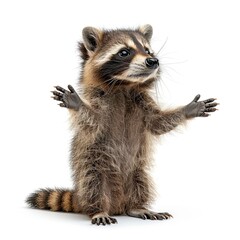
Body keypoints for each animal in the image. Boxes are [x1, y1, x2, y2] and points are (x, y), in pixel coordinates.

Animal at [25, 25, 218, 226]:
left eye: (148, 50)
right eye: (124, 52)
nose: (153, 61)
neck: (124, 85)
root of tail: (117, 205)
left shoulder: (143, 102)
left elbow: (158, 123)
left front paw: (189, 109)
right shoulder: (99, 100)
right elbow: (93, 121)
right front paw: (76, 103)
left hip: (137, 170)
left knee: (142, 183)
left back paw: (137, 207)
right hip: (91, 165)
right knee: (92, 185)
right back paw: (98, 210)